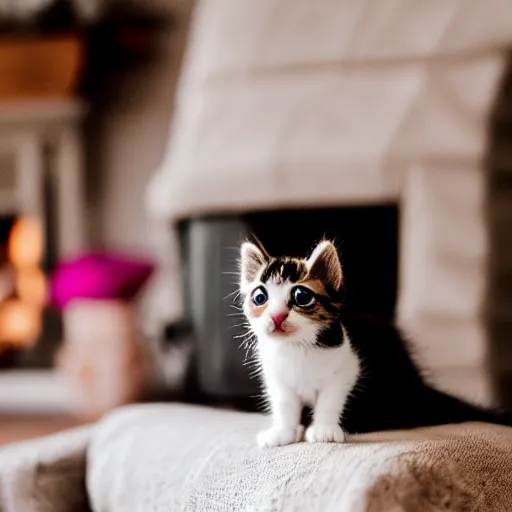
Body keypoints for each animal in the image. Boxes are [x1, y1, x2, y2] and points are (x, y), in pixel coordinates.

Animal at [241, 238, 512, 446]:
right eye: (259, 297)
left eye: (301, 296)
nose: (276, 316)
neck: (296, 348)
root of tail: (421, 388)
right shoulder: (277, 379)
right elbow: (284, 404)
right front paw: (283, 431)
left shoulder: (347, 367)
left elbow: (330, 398)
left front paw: (324, 428)